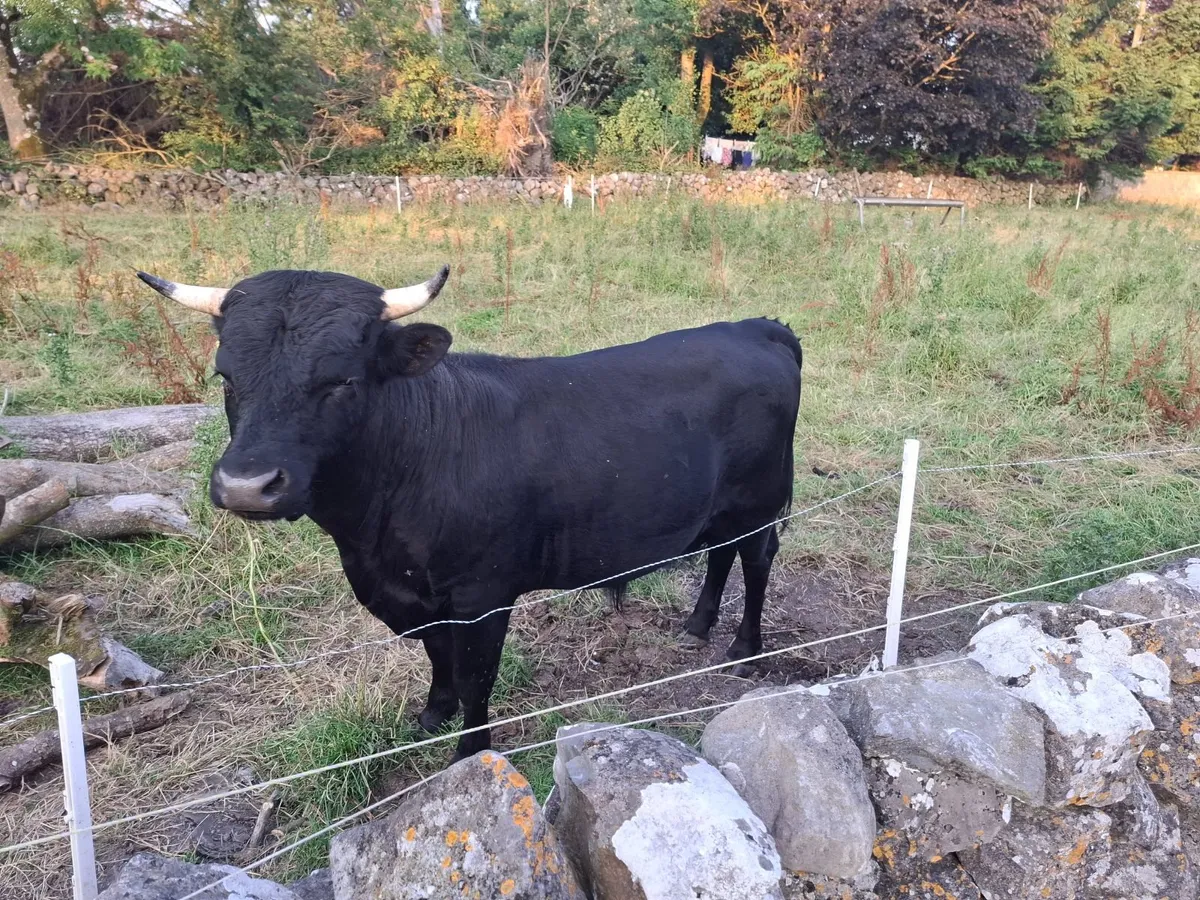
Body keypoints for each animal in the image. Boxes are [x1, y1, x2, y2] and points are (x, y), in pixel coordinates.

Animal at [136, 266, 802, 761]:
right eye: (226, 377)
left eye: (342, 380)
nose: (246, 486)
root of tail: (756, 327)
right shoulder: (409, 594)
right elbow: (437, 655)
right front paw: (433, 712)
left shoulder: (482, 593)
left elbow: (476, 674)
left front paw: (469, 750)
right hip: (720, 507)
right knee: (720, 554)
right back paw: (698, 624)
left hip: (761, 500)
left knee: (756, 562)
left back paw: (744, 648)